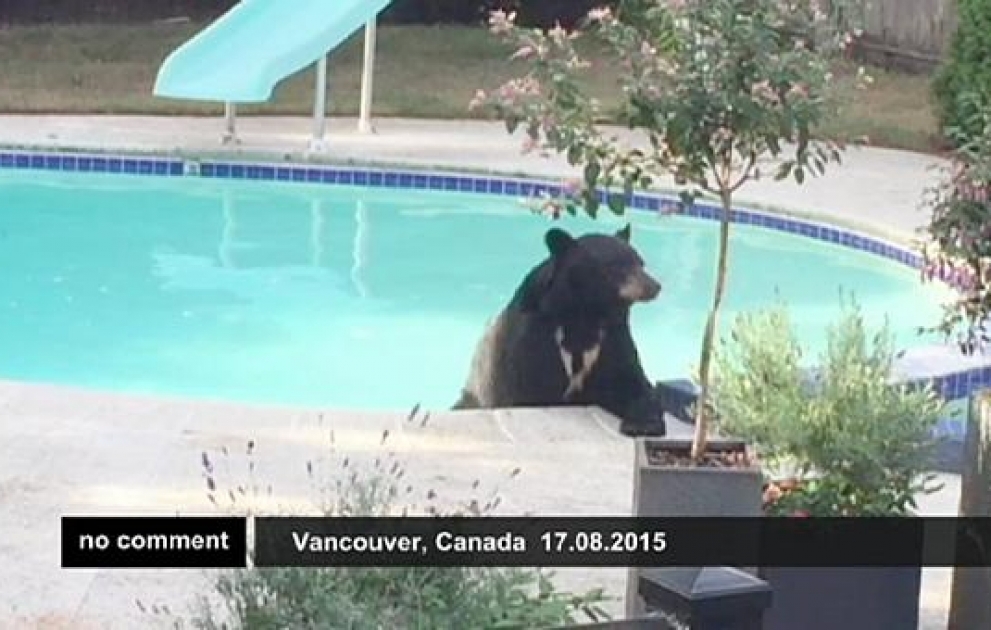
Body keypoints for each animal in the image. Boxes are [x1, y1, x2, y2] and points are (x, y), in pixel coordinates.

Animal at [453, 224, 666, 437]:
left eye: (640, 262)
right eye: (615, 265)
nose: (655, 286)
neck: (586, 312)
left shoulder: (612, 334)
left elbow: (629, 379)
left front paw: (644, 424)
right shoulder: (536, 334)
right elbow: (535, 385)